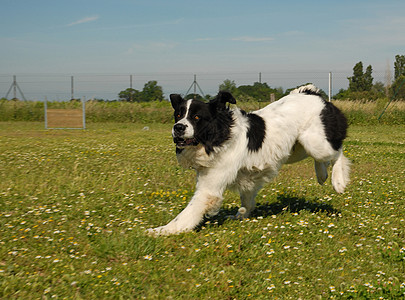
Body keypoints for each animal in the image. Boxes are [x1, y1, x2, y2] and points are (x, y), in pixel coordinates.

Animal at [147, 85, 348, 237]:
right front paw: (241, 215)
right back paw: (322, 175)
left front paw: (161, 230)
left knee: (338, 152)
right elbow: (247, 199)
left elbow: (186, 214)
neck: (220, 134)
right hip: (298, 147)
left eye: (196, 117)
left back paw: (338, 181)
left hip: (315, 142)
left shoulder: (209, 188)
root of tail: (313, 94)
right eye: (178, 115)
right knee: (322, 158)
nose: (178, 127)